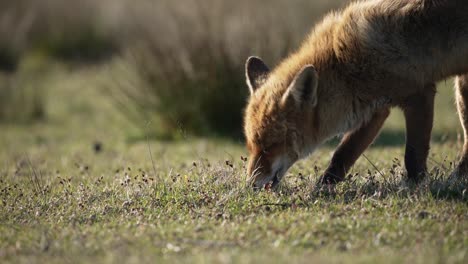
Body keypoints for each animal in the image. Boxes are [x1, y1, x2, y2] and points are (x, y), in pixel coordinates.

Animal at [243, 0, 468, 190]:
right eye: (252, 146)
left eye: (269, 147)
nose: (250, 185)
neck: (343, 61)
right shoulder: (373, 110)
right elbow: (342, 155)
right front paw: (322, 188)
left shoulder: (419, 94)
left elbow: (413, 154)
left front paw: (417, 186)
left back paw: (455, 180)